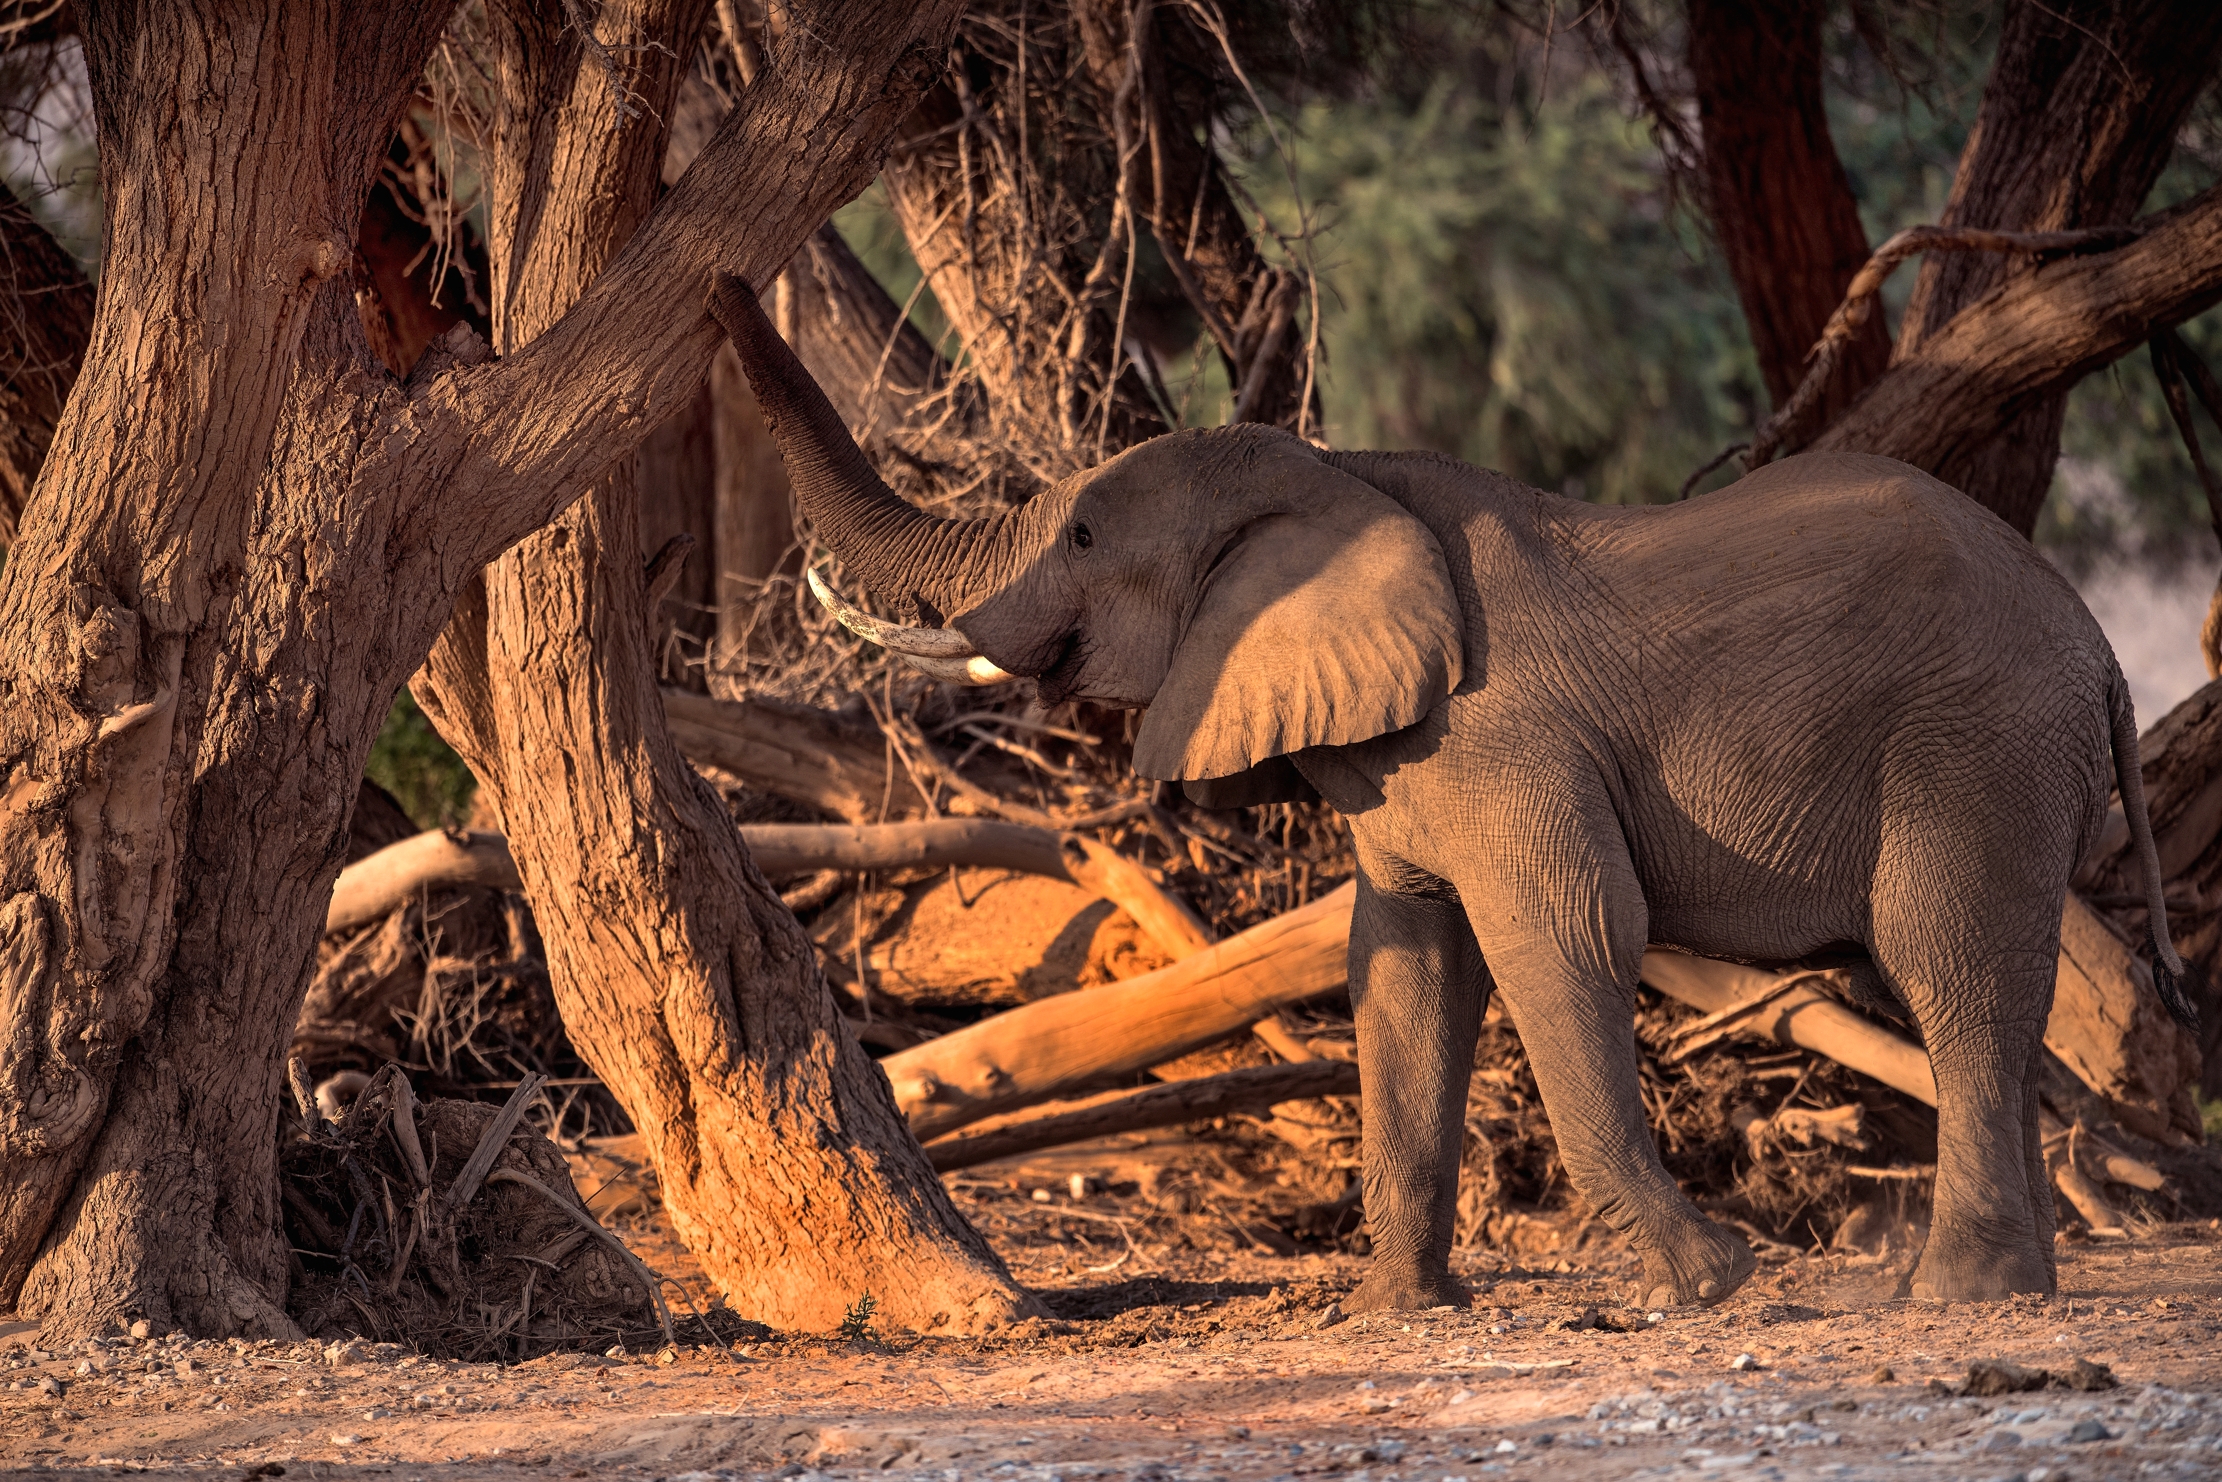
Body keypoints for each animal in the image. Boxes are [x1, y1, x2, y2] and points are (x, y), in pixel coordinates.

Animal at [705, 271, 2188, 1310]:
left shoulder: (1505, 739)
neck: (1339, 472)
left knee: (1948, 969)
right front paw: (1393, 1309)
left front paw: (1704, 1286)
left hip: (1976, 742)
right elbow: (1405, 964)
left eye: (1077, 533)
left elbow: (1560, 937)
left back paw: (1956, 1294)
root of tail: (2099, 650)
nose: (719, 278)